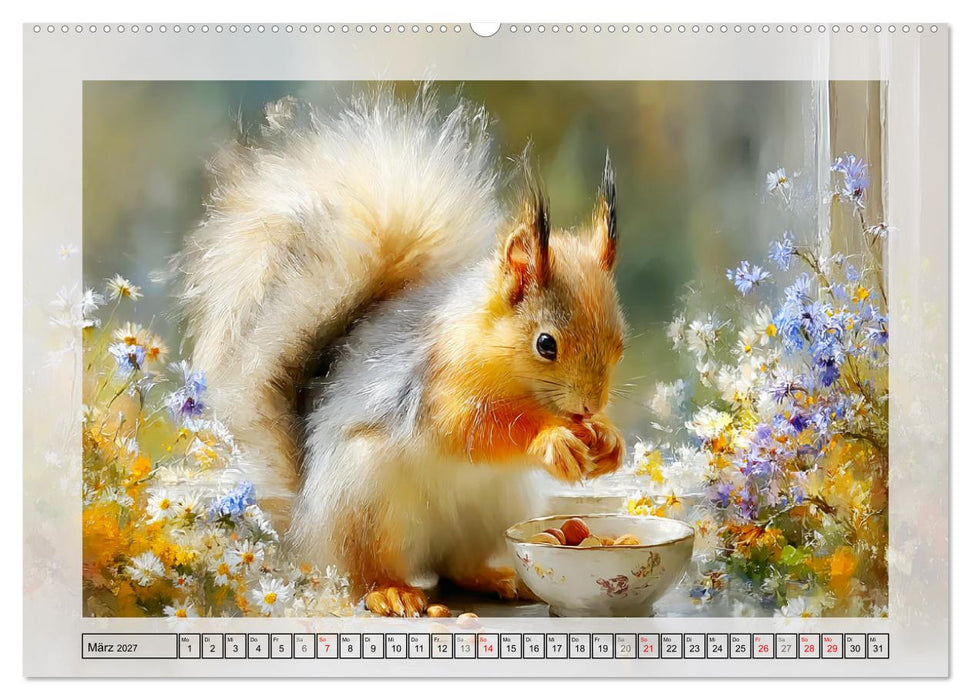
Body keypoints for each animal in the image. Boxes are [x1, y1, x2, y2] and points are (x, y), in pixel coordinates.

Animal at [176, 89, 627, 616]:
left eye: (620, 342)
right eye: (546, 344)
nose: (589, 406)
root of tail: (308, 530)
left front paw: (608, 441)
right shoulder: (438, 384)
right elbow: (470, 428)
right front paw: (551, 438)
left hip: (496, 507)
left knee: (457, 565)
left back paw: (496, 579)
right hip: (363, 505)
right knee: (365, 574)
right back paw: (391, 591)